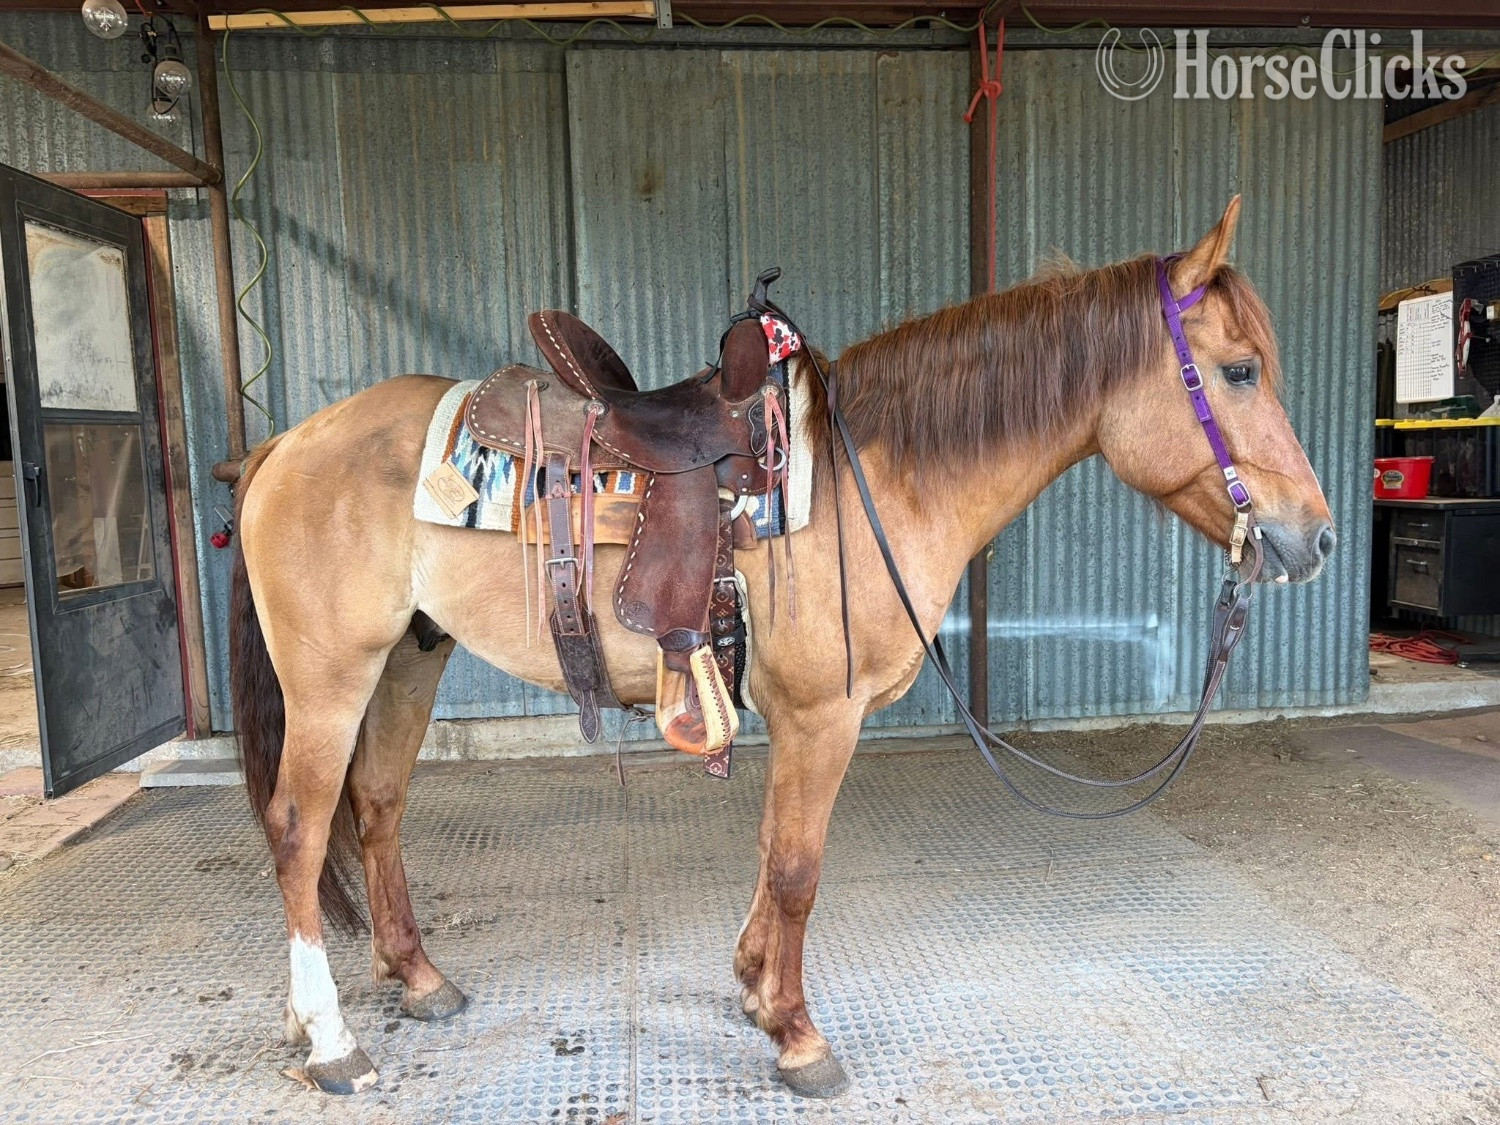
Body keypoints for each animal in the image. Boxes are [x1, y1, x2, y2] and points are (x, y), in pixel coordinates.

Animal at [229, 197, 1334, 1098]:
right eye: (1239, 371)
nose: (1316, 539)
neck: (873, 478)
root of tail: (287, 443)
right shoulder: (820, 713)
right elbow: (800, 867)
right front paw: (798, 1037)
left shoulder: (795, 717)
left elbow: (771, 854)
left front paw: (757, 991)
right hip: (331, 678)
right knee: (298, 826)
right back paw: (330, 1041)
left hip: (409, 661)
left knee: (376, 808)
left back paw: (417, 980)